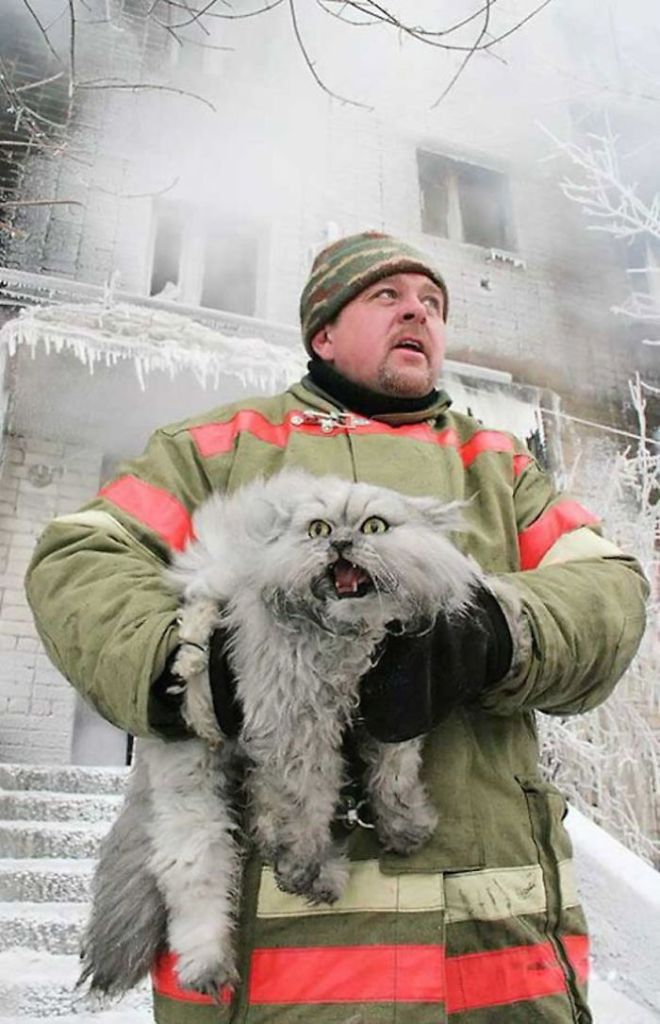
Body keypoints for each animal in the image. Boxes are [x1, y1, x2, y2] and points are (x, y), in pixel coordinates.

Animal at [80, 468, 482, 999]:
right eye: (318, 529)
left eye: (374, 527)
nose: (340, 543)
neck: (346, 642)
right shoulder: (295, 722)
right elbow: (307, 803)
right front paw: (301, 860)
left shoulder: (399, 704)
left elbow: (391, 777)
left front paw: (403, 826)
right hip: (194, 783)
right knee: (193, 871)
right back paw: (208, 963)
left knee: (260, 811)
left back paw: (318, 874)